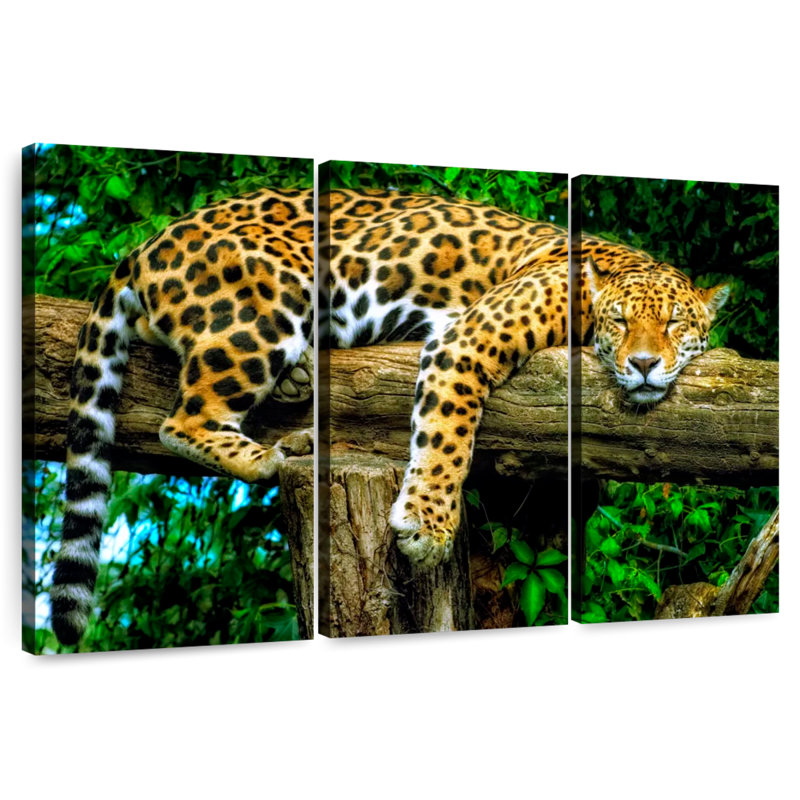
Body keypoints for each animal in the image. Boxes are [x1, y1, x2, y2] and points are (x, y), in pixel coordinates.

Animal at [325, 188, 729, 569]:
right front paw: (428, 523)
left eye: (673, 322)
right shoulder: (465, 341)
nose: (644, 363)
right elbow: (445, 435)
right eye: (620, 321)